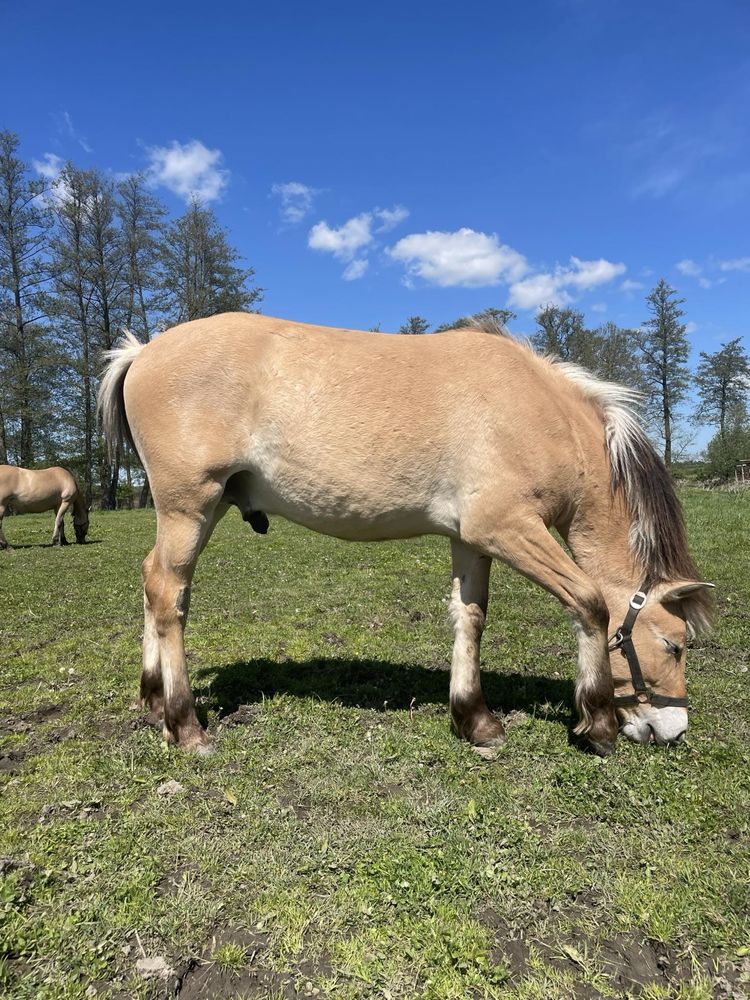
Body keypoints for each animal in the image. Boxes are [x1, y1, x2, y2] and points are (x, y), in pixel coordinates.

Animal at [97, 312, 712, 756]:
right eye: (674, 645)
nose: (674, 730)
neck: (537, 413)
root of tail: (142, 351)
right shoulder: (508, 529)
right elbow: (589, 603)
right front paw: (598, 722)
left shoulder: (472, 539)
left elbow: (470, 617)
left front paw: (475, 720)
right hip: (189, 507)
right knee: (168, 595)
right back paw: (185, 724)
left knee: (154, 583)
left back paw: (154, 701)